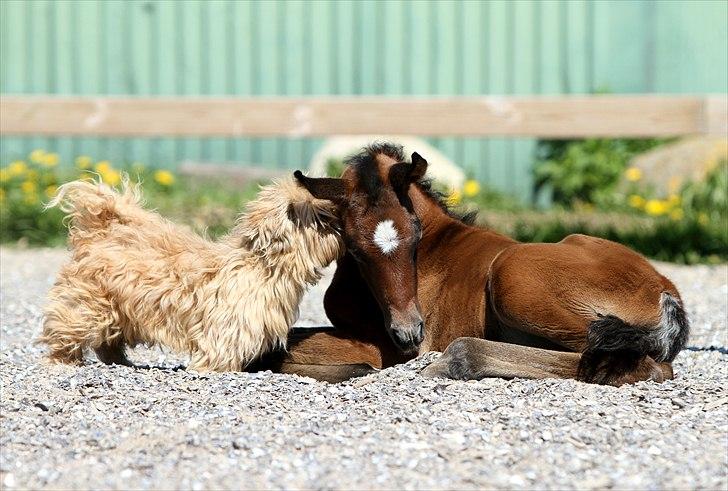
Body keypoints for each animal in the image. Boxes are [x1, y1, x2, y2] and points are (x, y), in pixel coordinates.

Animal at [41, 177, 342, 372]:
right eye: (323, 220)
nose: (340, 225)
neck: (262, 265)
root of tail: (98, 233)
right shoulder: (226, 329)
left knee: (108, 342)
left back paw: (121, 362)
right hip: (87, 307)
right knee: (65, 330)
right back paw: (62, 359)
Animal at [264, 144, 688, 386]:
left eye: (414, 235)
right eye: (352, 247)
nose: (409, 333)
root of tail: (666, 291)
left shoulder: (383, 347)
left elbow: (284, 347)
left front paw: (355, 370)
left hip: (510, 274)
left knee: (641, 365)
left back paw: (456, 360)